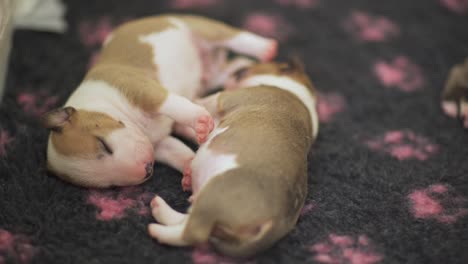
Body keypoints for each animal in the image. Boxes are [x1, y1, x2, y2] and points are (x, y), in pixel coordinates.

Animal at [40, 14, 278, 188]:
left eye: (103, 144)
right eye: (110, 186)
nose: (147, 169)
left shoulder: (140, 88)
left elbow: (170, 103)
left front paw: (199, 121)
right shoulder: (158, 144)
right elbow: (176, 151)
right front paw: (190, 169)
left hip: (199, 27)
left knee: (233, 36)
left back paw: (265, 48)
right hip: (211, 75)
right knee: (225, 69)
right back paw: (236, 70)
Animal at [148, 59, 320, 258]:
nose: (245, 64)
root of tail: (276, 222)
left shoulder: (223, 98)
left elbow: (203, 101)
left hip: (214, 193)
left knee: (194, 233)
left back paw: (158, 227)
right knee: (191, 221)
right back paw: (161, 210)